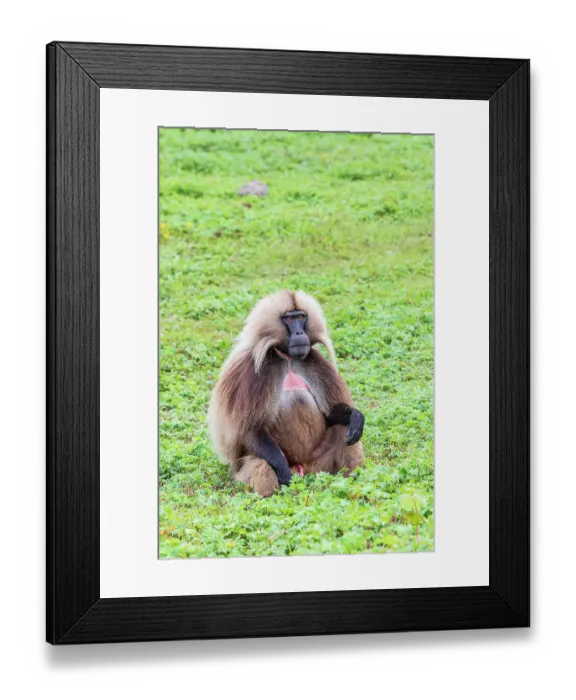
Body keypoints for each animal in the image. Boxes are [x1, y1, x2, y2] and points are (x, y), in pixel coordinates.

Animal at [208, 290, 364, 497]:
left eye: (301, 317)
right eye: (289, 319)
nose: (299, 333)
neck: (288, 359)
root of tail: (303, 469)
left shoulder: (314, 361)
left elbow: (330, 414)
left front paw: (356, 416)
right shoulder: (248, 372)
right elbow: (249, 429)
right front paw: (281, 470)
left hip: (320, 466)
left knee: (344, 430)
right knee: (262, 463)